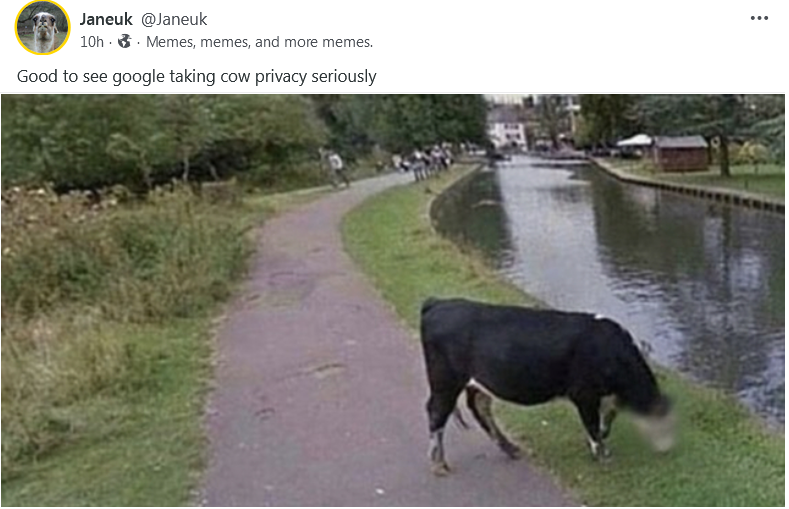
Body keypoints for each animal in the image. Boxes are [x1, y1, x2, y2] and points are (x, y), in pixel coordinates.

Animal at [420, 298, 675, 477]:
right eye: (664, 423)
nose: (668, 449)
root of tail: (438, 303)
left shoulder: (605, 397)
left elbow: (606, 422)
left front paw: (601, 444)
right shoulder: (584, 394)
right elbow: (593, 425)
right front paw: (602, 455)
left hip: (477, 382)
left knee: (480, 407)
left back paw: (510, 448)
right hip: (445, 381)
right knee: (437, 413)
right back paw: (439, 464)